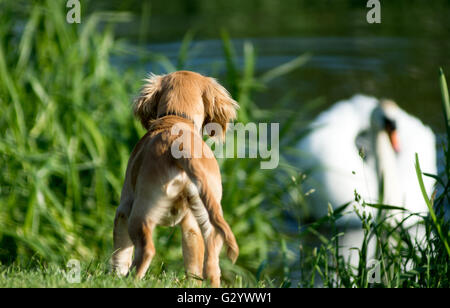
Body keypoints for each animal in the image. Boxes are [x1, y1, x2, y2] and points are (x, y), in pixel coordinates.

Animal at [111, 70, 239, 286]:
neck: (177, 118)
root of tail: (181, 146)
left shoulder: (124, 206)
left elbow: (120, 252)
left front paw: (113, 276)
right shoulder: (190, 224)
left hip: (141, 211)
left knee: (146, 251)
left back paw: (131, 281)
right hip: (207, 219)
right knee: (210, 266)